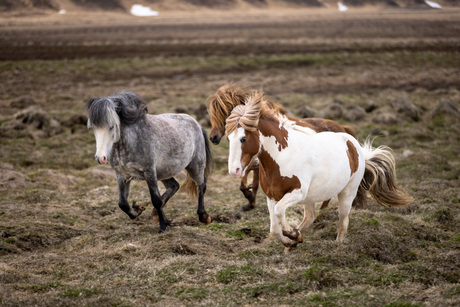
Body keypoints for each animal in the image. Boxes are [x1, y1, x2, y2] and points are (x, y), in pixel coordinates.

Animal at [87, 91, 213, 233]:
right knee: (174, 186)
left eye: (111, 126)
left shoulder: (149, 172)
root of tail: (197, 124)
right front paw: (137, 210)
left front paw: (162, 227)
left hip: (195, 165)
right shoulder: (122, 175)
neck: (131, 141)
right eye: (93, 128)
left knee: (201, 185)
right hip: (164, 172)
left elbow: (156, 199)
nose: (100, 158)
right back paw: (156, 215)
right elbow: (122, 203)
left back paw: (203, 216)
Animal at [226, 92, 414, 251]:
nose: (234, 171)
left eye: (243, 138)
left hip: (347, 192)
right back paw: (294, 242)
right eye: (228, 138)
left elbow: (279, 214)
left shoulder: (296, 193)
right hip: (311, 198)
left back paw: (337, 245)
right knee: (310, 217)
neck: (283, 155)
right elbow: (274, 227)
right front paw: (291, 239)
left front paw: (291, 234)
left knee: (343, 221)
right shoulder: (272, 196)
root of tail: (354, 144)